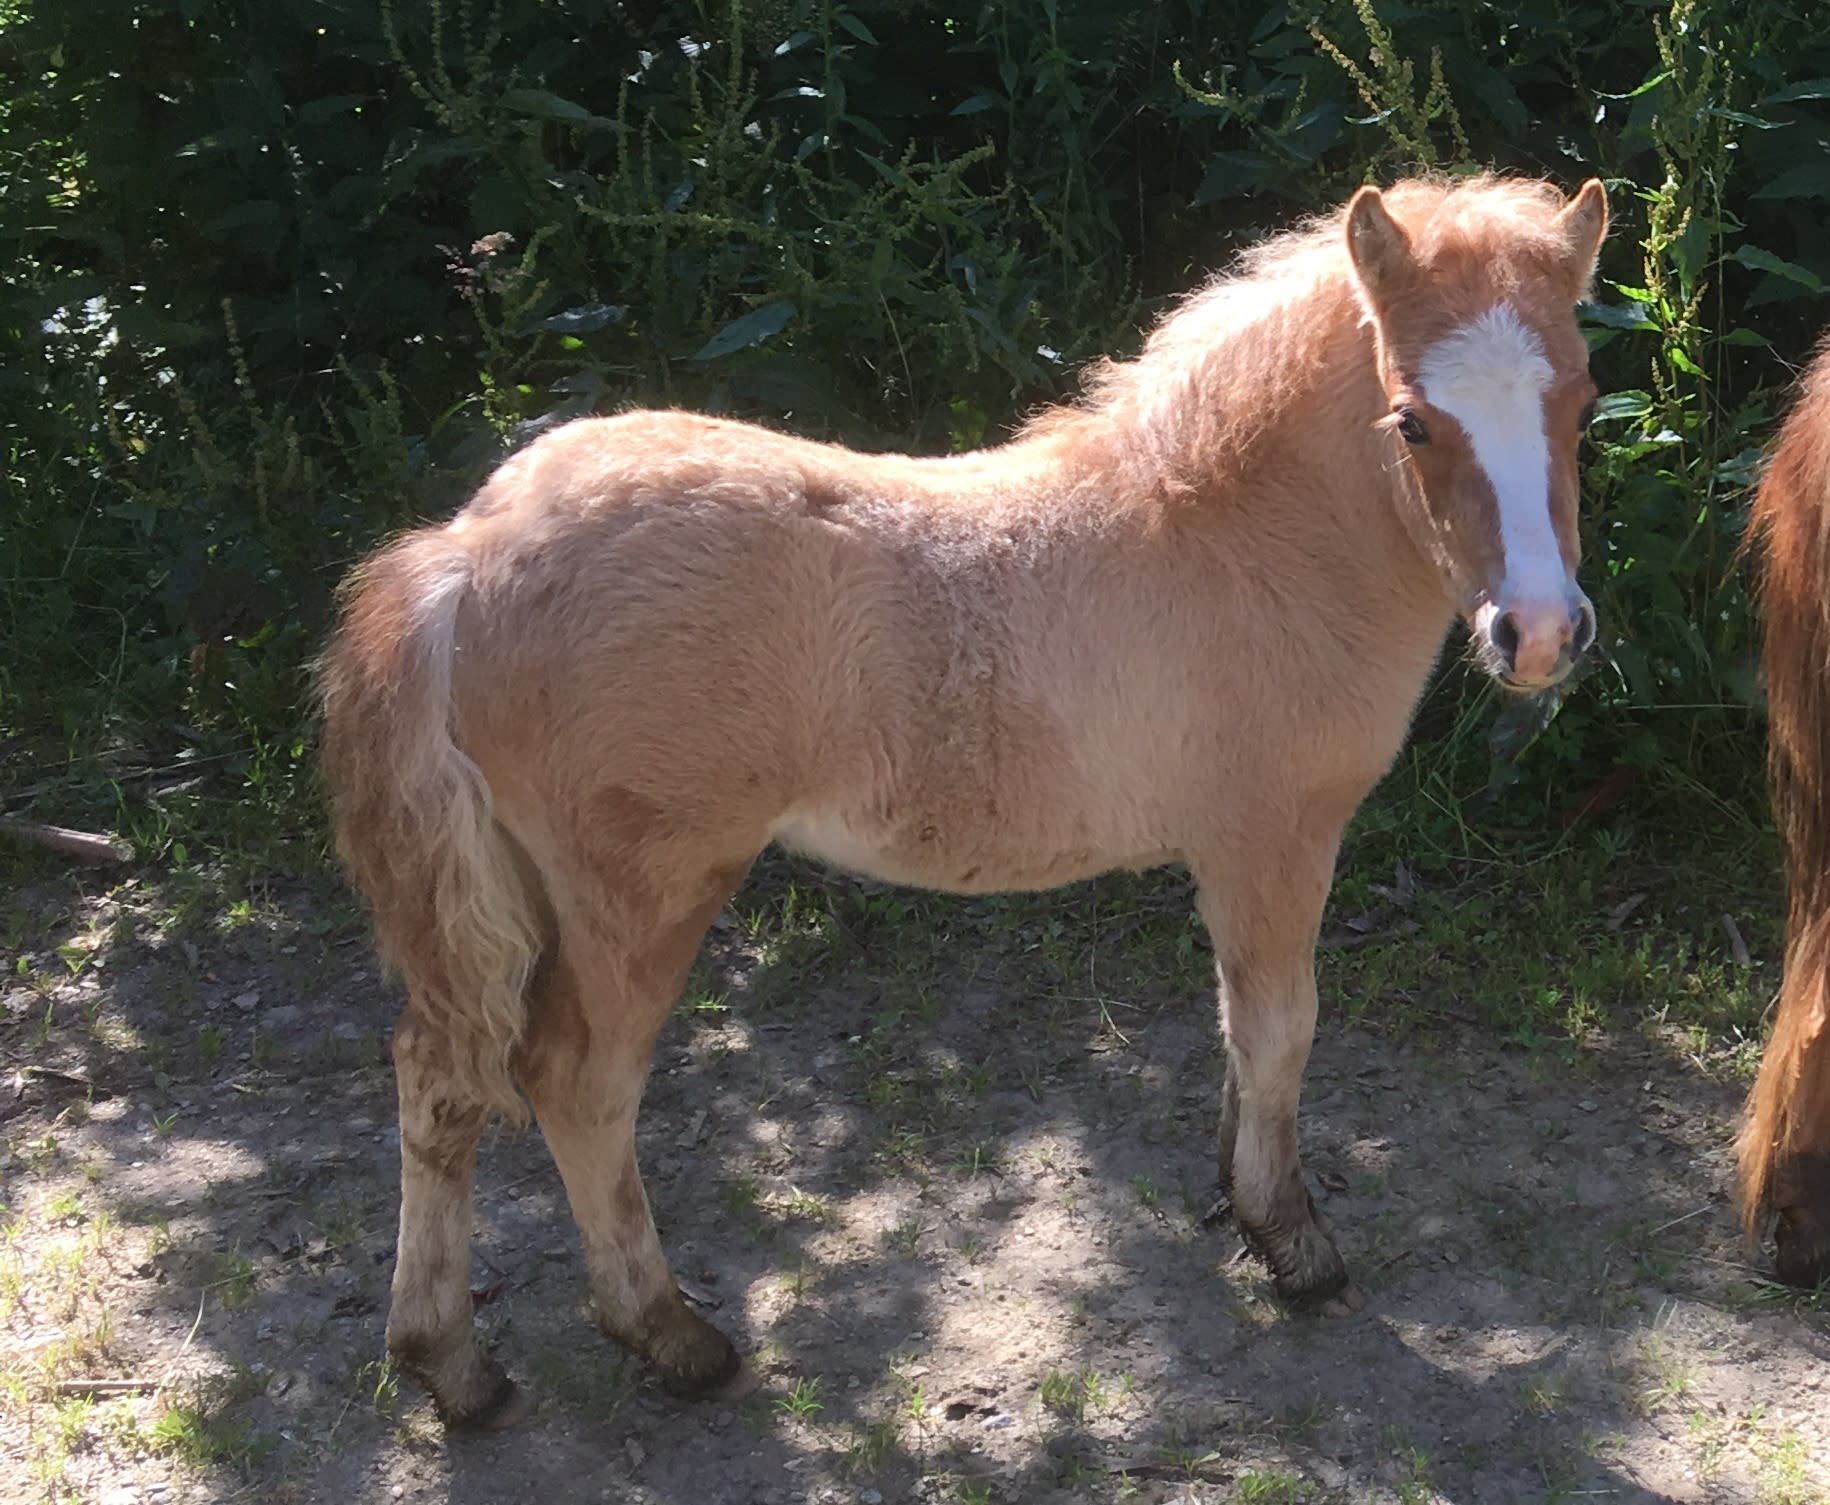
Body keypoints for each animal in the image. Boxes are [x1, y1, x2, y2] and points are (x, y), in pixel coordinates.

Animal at [317, 172, 1609, 1427]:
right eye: (1413, 419)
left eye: (1586, 403)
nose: (1540, 634)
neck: (1234, 536)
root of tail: (467, 550)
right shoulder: (1274, 840)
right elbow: (1281, 1027)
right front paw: (1292, 1242)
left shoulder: (1235, 854)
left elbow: (1237, 1029)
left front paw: (1232, 1195)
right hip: (646, 891)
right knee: (578, 1086)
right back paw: (674, 1338)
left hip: (515, 887)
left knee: (439, 1073)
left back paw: (450, 1364)